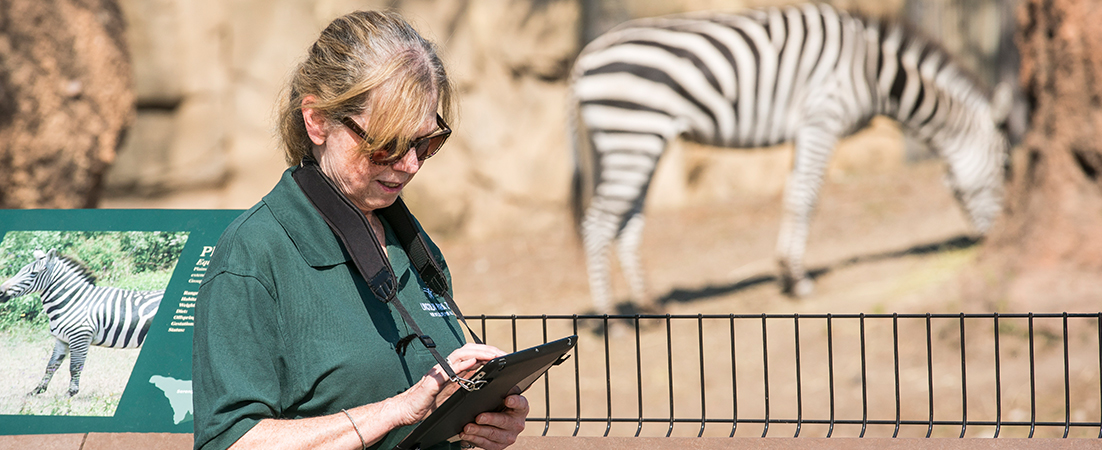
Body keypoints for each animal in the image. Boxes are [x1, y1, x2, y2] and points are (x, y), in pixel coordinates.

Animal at [0, 251, 163, 394]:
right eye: (20, 270)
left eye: (33, 273)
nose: (0, 291)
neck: (74, 301)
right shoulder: (62, 339)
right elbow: (51, 365)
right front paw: (37, 391)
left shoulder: (80, 337)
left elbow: (75, 366)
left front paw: (70, 394)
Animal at [573, 2, 1009, 313]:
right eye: (1006, 167)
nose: (993, 238)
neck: (873, 70)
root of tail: (584, 59)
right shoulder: (822, 119)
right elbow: (808, 197)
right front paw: (798, 280)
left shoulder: (806, 129)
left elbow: (793, 192)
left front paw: (785, 271)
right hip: (632, 132)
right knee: (598, 221)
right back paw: (610, 319)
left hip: (636, 140)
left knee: (627, 219)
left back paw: (647, 307)